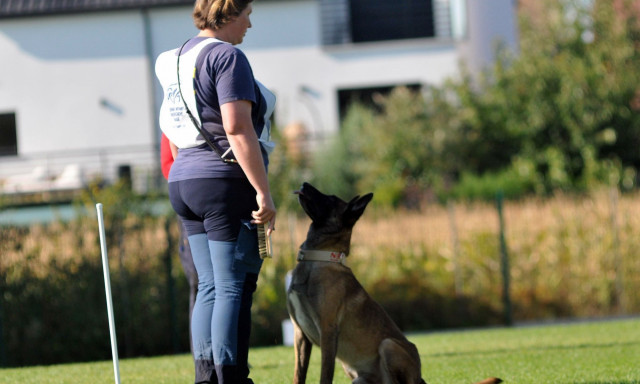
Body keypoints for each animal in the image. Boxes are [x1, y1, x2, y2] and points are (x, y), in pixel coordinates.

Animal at [284, 183, 500, 384]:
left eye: (329, 199)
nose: (304, 184)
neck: (317, 259)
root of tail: (420, 378)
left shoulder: (328, 331)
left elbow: (325, 375)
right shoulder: (300, 335)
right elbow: (298, 375)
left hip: (388, 345)